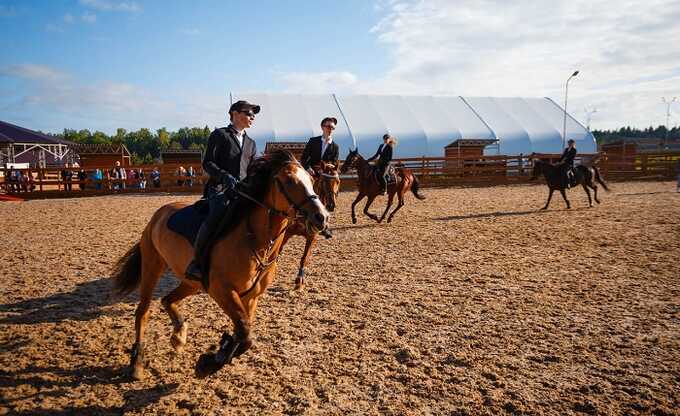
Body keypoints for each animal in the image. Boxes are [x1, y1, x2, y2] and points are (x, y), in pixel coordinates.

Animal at [111, 150, 330, 380]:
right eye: (288, 180)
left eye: (312, 181)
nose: (321, 217)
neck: (254, 241)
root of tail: (158, 215)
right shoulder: (222, 290)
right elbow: (244, 332)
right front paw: (210, 362)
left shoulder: (251, 298)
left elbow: (244, 335)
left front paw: (218, 354)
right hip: (152, 267)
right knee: (143, 312)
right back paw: (137, 362)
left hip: (191, 283)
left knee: (167, 299)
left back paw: (179, 335)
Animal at [278, 160, 340, 290]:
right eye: (324, 182)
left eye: (337, 181)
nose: (331, 205)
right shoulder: (286, 233)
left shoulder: (312, 236)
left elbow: (305, 257)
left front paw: (300, 279)